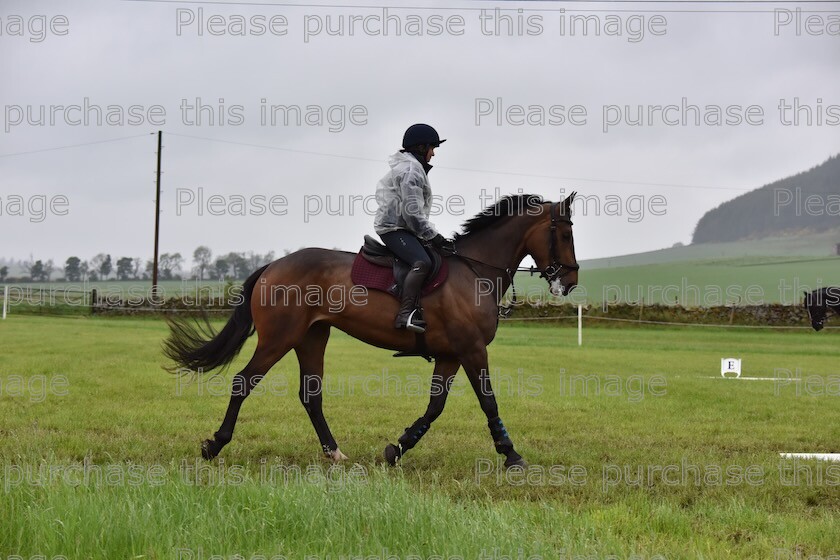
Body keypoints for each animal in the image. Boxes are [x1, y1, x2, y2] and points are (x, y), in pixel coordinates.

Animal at [162, 192, 576, 468]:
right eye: (565, 234)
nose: (570, 282)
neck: (475, 270)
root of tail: (272, 266)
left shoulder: (450, 354)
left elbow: (435, 406)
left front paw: (397, 448)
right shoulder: (472, 349)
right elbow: (488, 401)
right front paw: (511, 455)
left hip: (311, 338)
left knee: (310, 395)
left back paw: (334, 452)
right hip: (278, 339)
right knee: (243, 383)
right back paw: (214, 445)